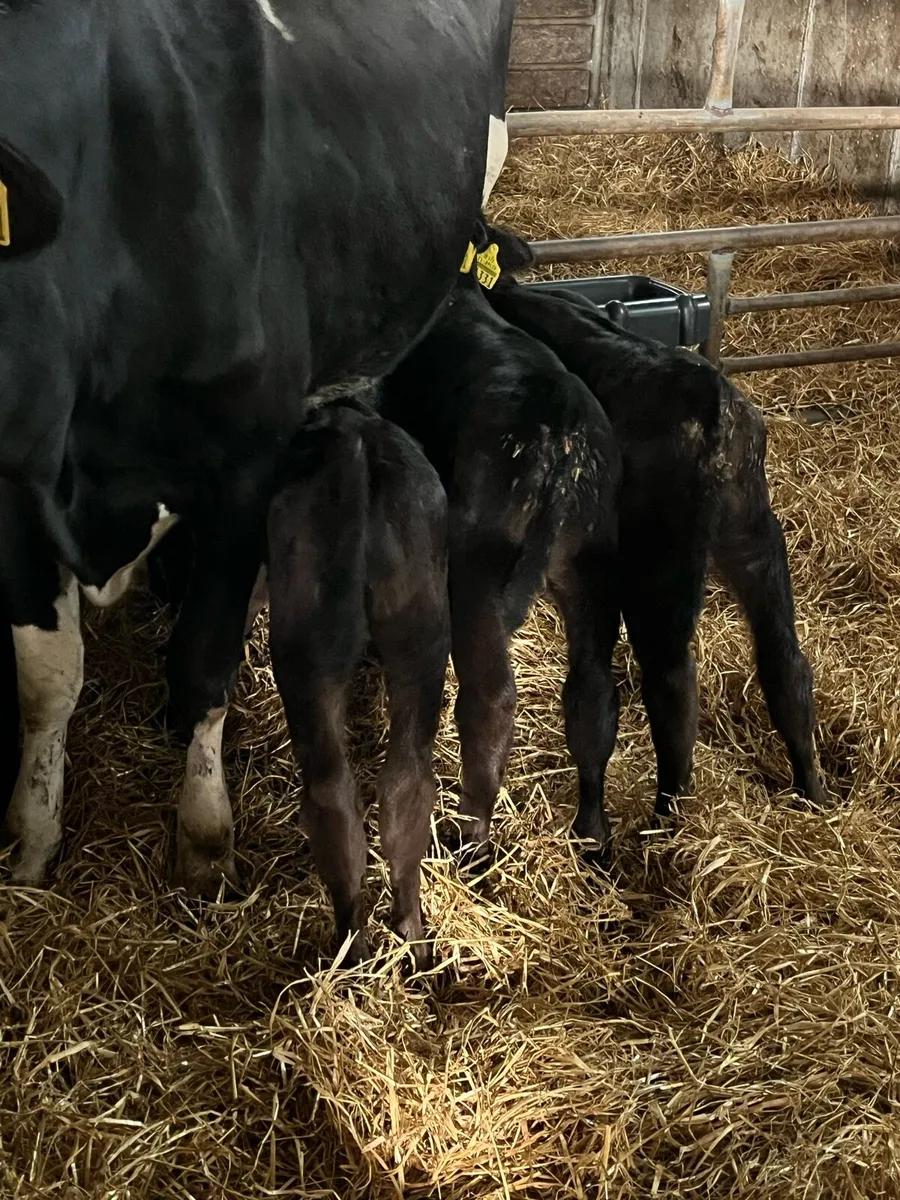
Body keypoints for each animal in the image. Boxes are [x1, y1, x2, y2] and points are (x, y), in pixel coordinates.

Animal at [0, 0, 516, 893]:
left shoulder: (242, 469)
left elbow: (205, 661)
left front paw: (205, 834)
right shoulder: (21, 490)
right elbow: (47, 681)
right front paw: (32, 838)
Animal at [483, 225, 827, 848]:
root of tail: (714, 408)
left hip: (659, 558)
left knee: (671, 679)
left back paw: (669, 818)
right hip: (754, 532)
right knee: (785, 660)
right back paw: (813, 794)